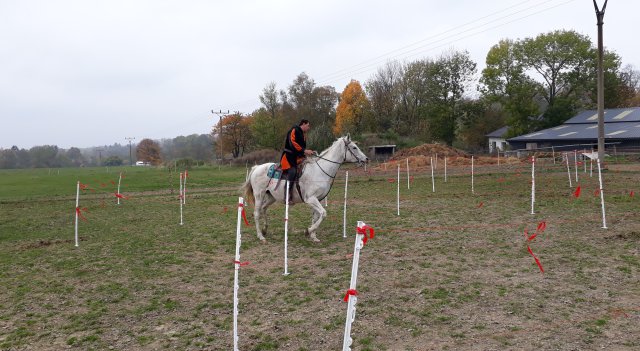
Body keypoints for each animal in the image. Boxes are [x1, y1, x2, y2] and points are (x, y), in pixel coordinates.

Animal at [241, 135, 370, 242]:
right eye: (354, 147)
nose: (366, 159)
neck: (320, 171)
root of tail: (256, 167)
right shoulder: (311, 199)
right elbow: (323, 213)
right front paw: (308, 231)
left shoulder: (319, 199)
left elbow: (316, 216)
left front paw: (313, 236)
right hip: (259, 195)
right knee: (256, 213)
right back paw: (260, 236)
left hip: (271, 197)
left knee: (264, 208)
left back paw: (265, 230)